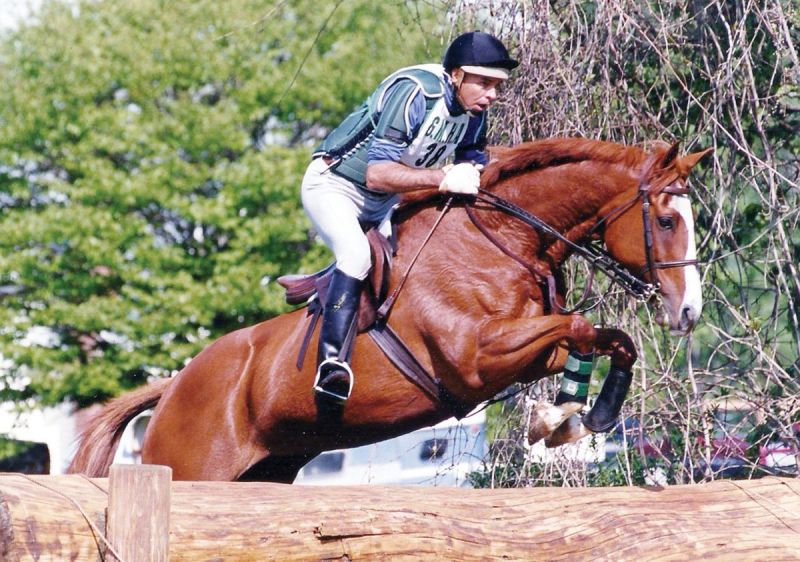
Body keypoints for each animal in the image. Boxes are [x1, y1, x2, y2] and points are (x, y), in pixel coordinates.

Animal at [68, 137, 711, 483]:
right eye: (666, 220)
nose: (688, 312)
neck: (501, 239)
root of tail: (174, 386)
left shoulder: (526, 347)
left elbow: (608, 339)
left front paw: (578, 418)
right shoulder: (476, 356)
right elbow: (577, 325)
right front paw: (557, 420)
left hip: (267, 470)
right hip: (191, 468)